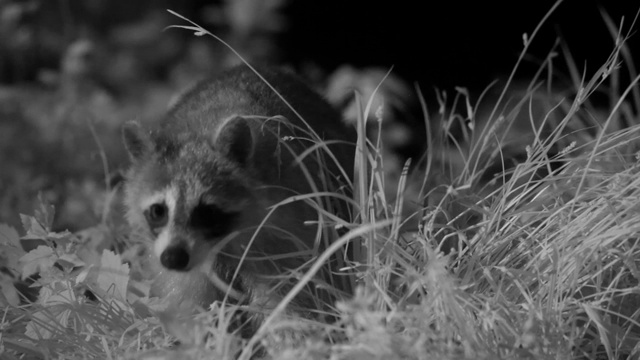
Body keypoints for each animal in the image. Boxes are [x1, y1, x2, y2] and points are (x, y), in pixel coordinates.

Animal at [122, 66, 356, 320]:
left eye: (207, 212)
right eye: (158, 210)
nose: (173, 258)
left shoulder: (288, 232)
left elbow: (292, 300)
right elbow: (190, 303)